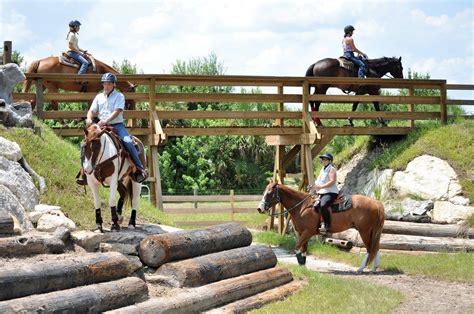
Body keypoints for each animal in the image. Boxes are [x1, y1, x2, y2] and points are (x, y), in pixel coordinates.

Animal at [256, 183, 386, 272]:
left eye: (269, 193)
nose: (259, 208)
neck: (302, 206)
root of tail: (375, 202)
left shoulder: (308, 232)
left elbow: (297, 247)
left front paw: (300, 263)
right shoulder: (303, 233)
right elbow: (303, 249)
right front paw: (302, 265)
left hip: (365, 231)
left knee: (370, 249)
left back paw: (361, 269)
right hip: (372, 232)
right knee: (376, 248)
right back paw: (375, 268)